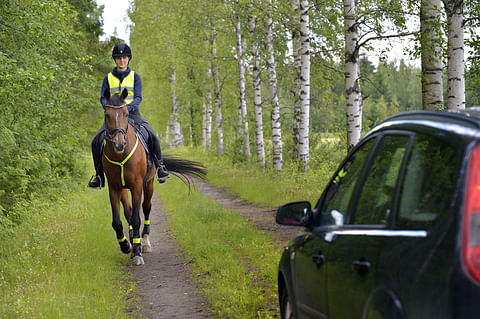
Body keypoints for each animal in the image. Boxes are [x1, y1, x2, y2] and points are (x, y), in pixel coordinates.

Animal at [101, 89, 206, 266]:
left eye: (126, 113)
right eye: (107, 115)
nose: (119, 144)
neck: (120, 155)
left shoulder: (137, 185)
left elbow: (137, 218)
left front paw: (137, 252)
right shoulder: (114, 187)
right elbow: (117, 221)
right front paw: (126, 245)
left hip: (148, 184)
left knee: (146, 208)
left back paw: (145, 243)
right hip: (124, 189)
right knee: (128, 212)